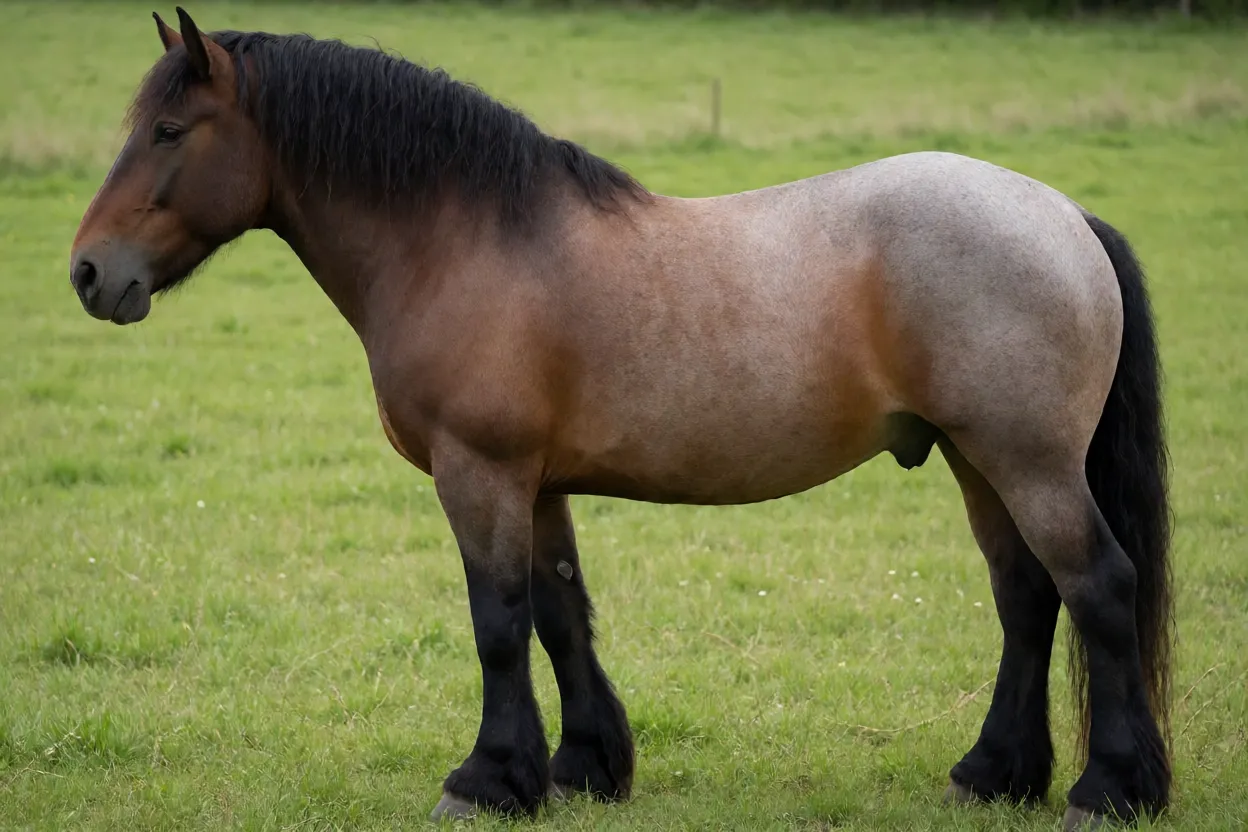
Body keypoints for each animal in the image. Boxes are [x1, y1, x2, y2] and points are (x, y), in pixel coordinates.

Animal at [69, 8, 1174, 830]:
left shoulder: (479, 471)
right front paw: (581, 766)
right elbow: (560, 612)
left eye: (169, 132)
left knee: (1098, 587)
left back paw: (1110, 790)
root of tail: (1064, 215)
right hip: (976, 459)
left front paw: (485, 780)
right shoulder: (535, 481)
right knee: (1028, 597)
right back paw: (994, 772)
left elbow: (498, 622)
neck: (464, 241)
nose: (88, 272)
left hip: (1026, 461)